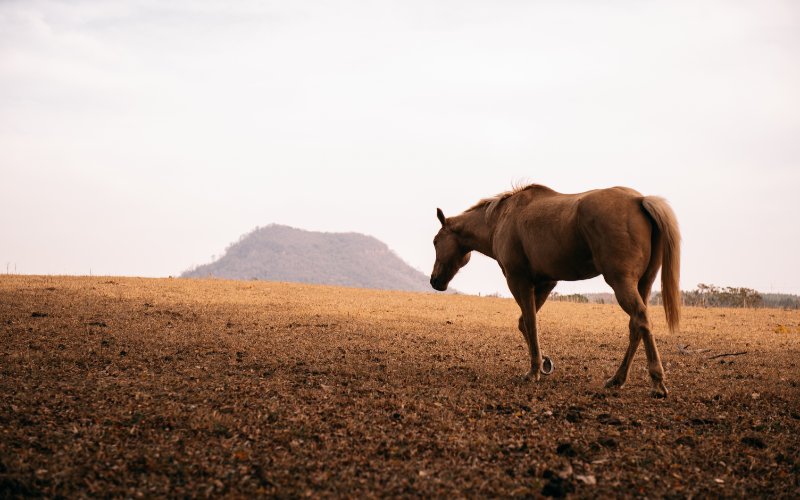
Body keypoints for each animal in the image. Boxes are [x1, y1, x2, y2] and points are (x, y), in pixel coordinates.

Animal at [430, 184, 680, 397]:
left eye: (435, 241)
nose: (434, 281)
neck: (502, 218)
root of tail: (639, 200)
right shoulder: (546, 283)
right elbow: (524, 323)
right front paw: (544, 364)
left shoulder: (518, 280)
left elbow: (530, 322)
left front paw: (534, 371)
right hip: (643, 284)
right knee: (636, 327)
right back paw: (617, 379)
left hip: (621, 282)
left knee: (641, 319)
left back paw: (657, 383)